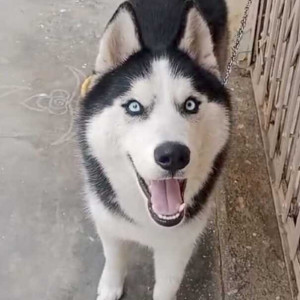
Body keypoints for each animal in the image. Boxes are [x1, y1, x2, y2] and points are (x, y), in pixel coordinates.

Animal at [77, 0, 230, 300]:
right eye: (134, 106)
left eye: (191, 105)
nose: (173, 156)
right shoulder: (107, 221)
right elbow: (114, 259)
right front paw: (110, 288)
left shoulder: (179, 244)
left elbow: (166, 285)